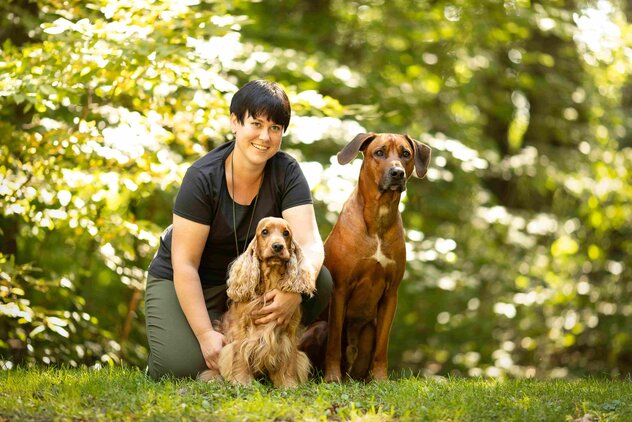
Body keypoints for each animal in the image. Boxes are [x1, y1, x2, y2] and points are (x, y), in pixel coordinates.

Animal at [320, 133, 430, 382]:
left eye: (406, 154)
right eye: (379, 152)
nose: (397, 173)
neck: (379, 214)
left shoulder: (391, 294)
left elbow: (382, 345)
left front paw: (380, 379)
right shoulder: (340, 289)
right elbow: (333, 343)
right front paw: (332, 377)